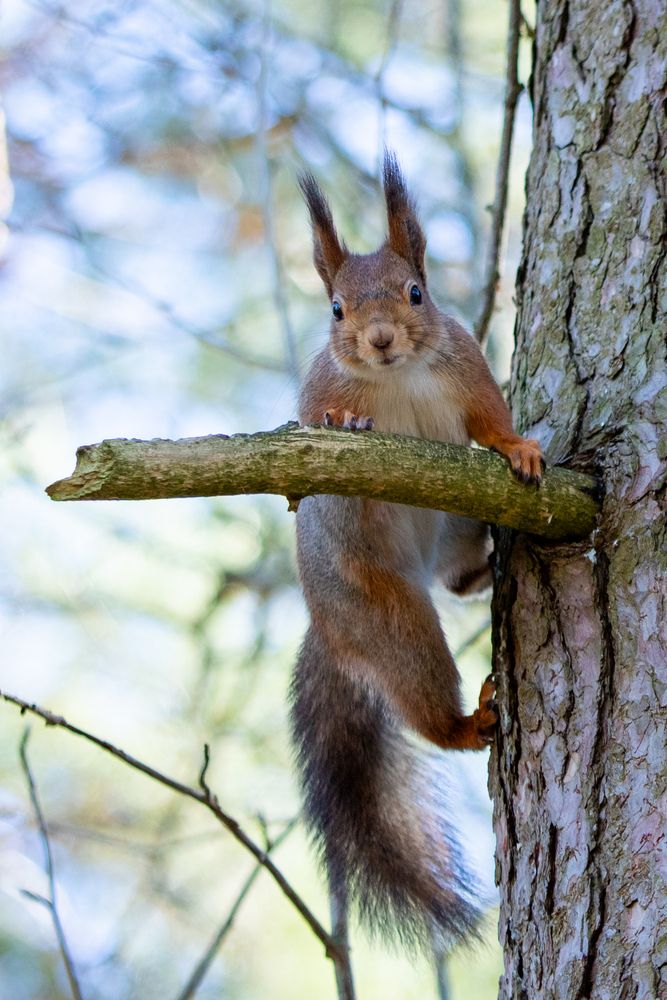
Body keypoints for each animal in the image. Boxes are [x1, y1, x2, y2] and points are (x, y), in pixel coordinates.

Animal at [289, 152, 543, 951]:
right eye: (335, 310)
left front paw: (520, 449)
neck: (396, 376)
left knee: (458, 578)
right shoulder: (315, 396)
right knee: (423, 689)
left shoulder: (468, 371)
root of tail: (328, 626)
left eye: (415, 292)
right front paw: (344, 423)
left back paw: (479, 566)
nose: (379, 340)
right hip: (389, 620)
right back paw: (466, 723)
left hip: (454, 529)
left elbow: (490, 423)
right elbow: (317, 439)